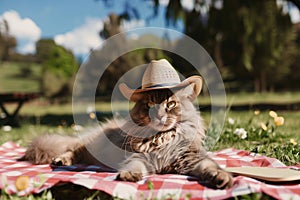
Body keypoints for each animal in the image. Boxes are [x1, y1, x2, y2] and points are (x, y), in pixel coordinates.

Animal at [19, 59, 233, 189]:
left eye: (171, 104)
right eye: (149, 105)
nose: (159, 116)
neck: (162, 138)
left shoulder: (192, 159)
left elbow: (211, 167)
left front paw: (222, 179)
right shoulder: (140, 157)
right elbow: (134, 166)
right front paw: (128, 176)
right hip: (90, 146)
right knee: (73, 150)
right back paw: (60, 160)